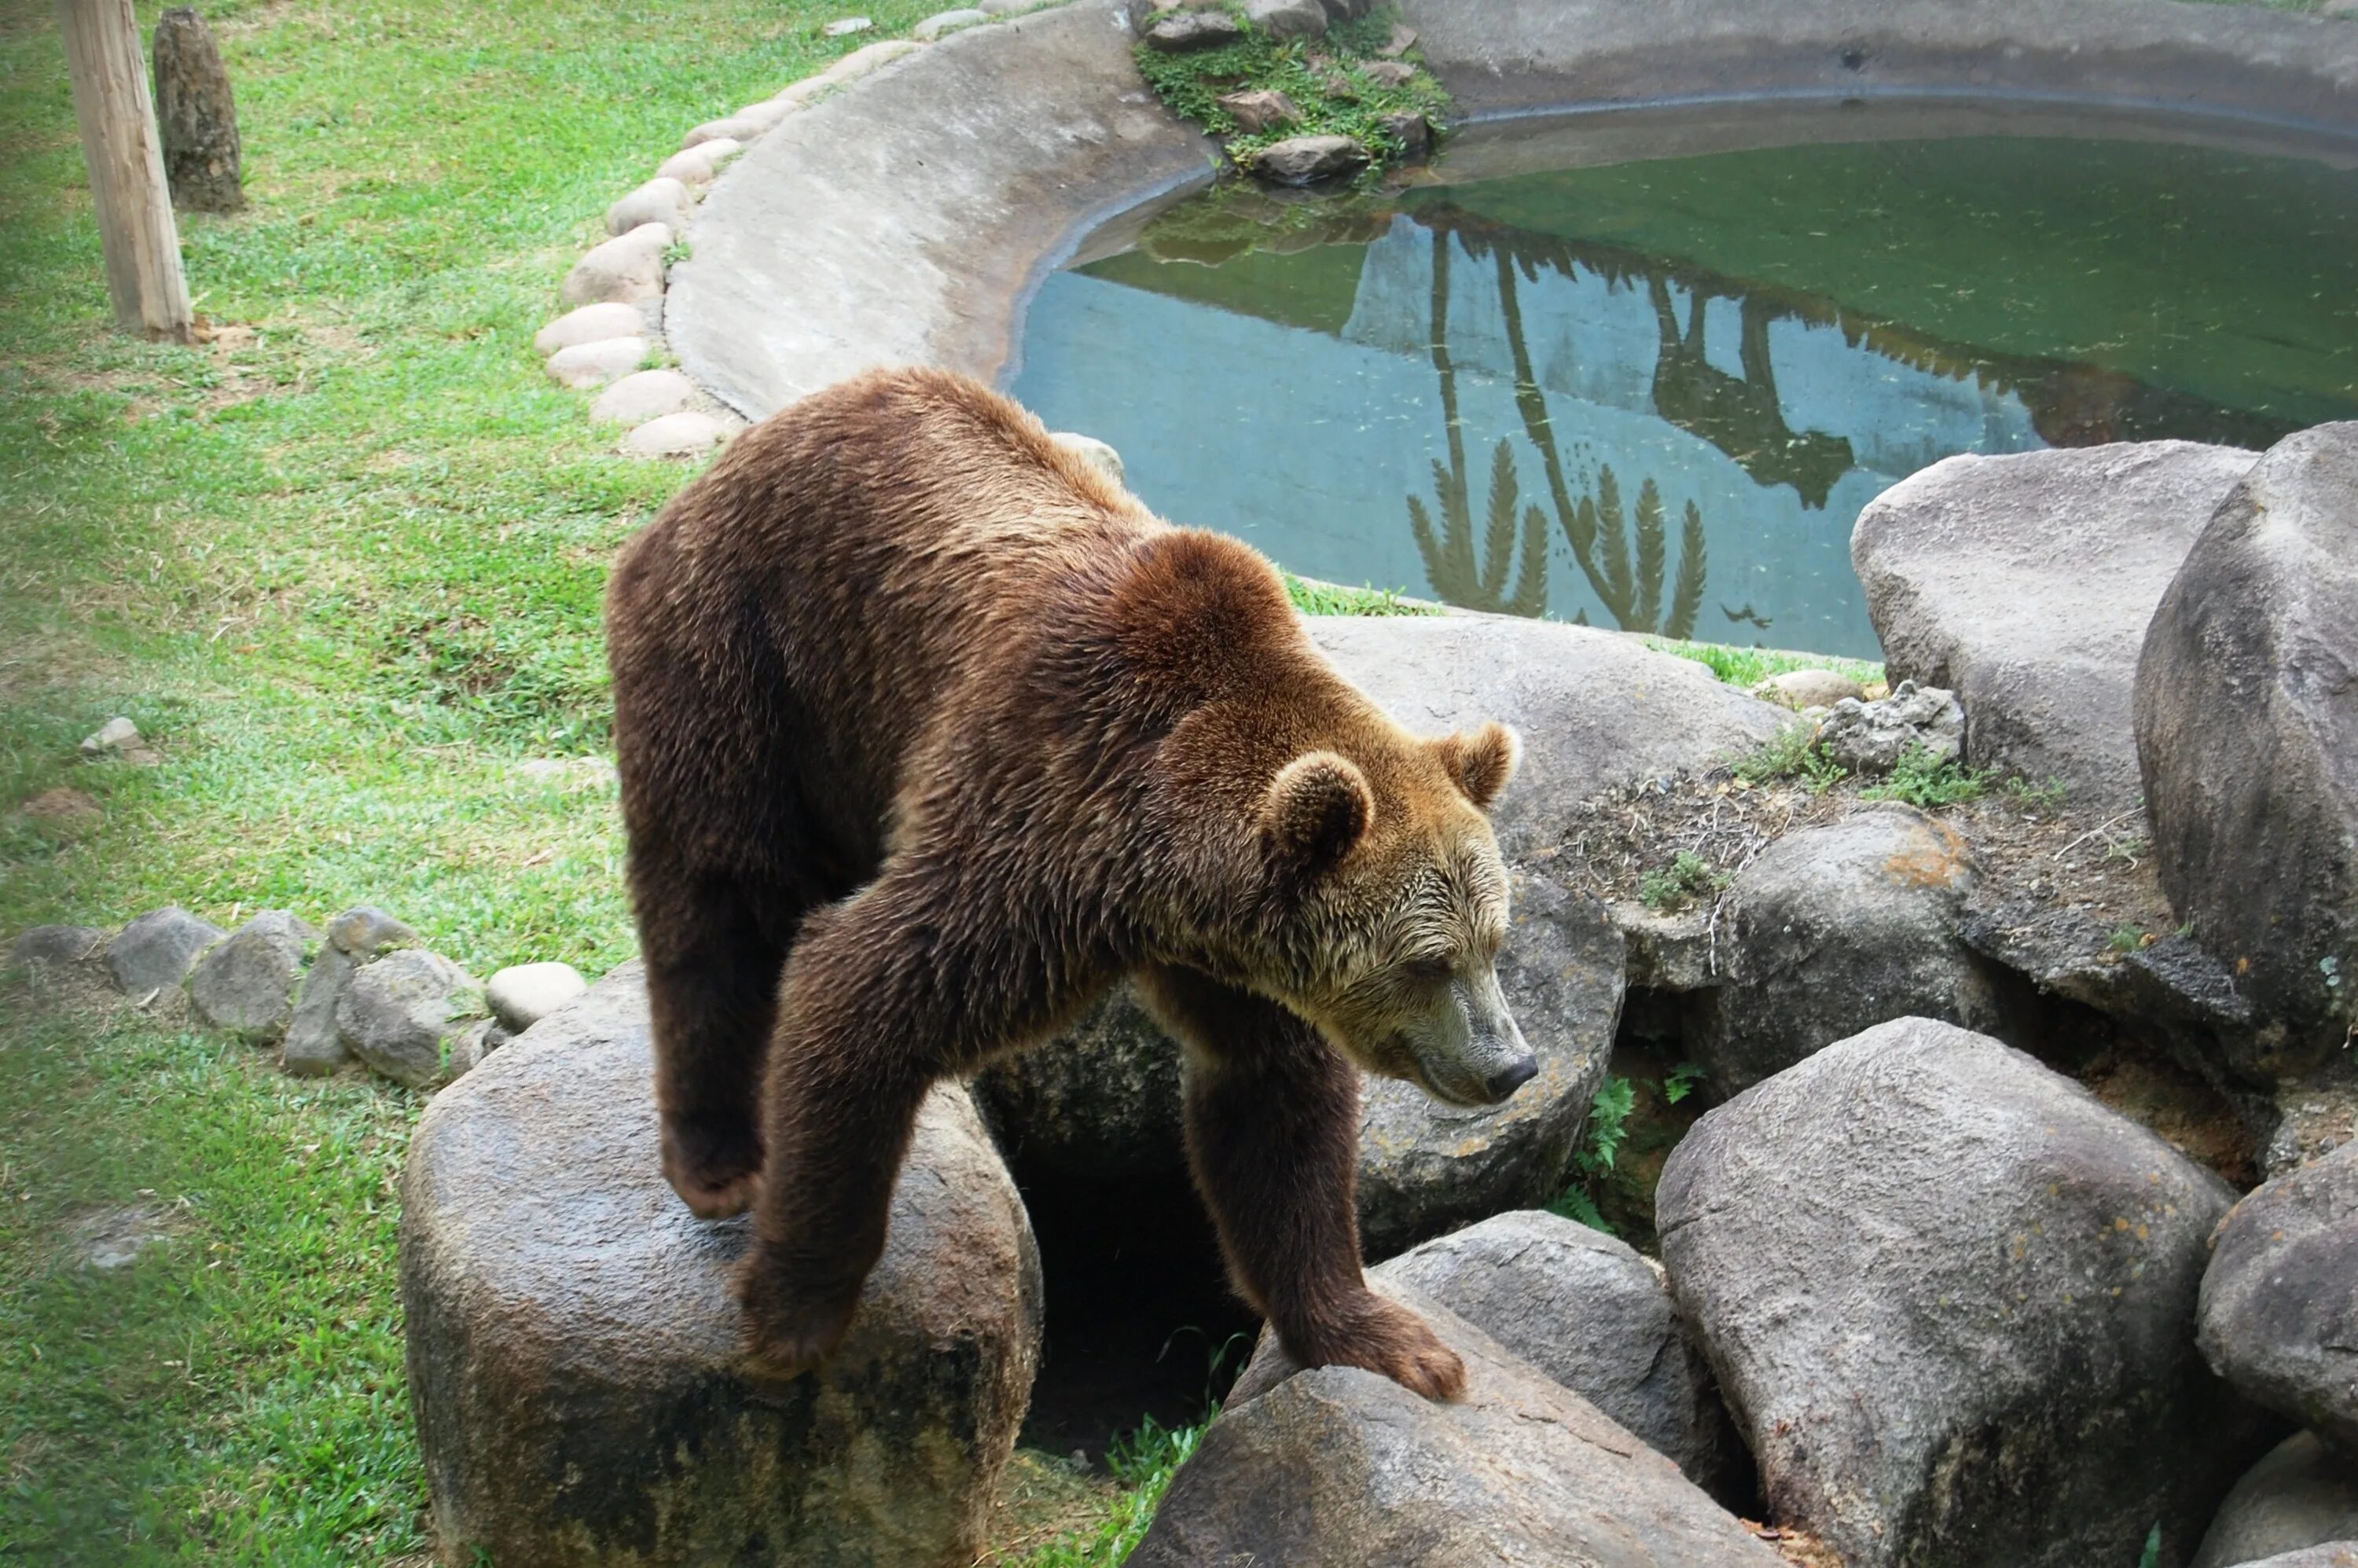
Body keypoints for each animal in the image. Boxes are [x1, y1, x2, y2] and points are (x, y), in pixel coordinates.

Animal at [599, 368, 1537, 1396]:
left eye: (1494, 944)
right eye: (1427, 961)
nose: (1509, 1065)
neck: (1164, 862)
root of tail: (737, 454)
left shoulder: (1238, 957)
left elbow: (1275, 1104)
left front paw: (1385, 1337)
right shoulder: (1036, 820)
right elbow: (862, 989)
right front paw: (791, 1318)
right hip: (750, 654)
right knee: (719, 893)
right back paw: (717, 1155)